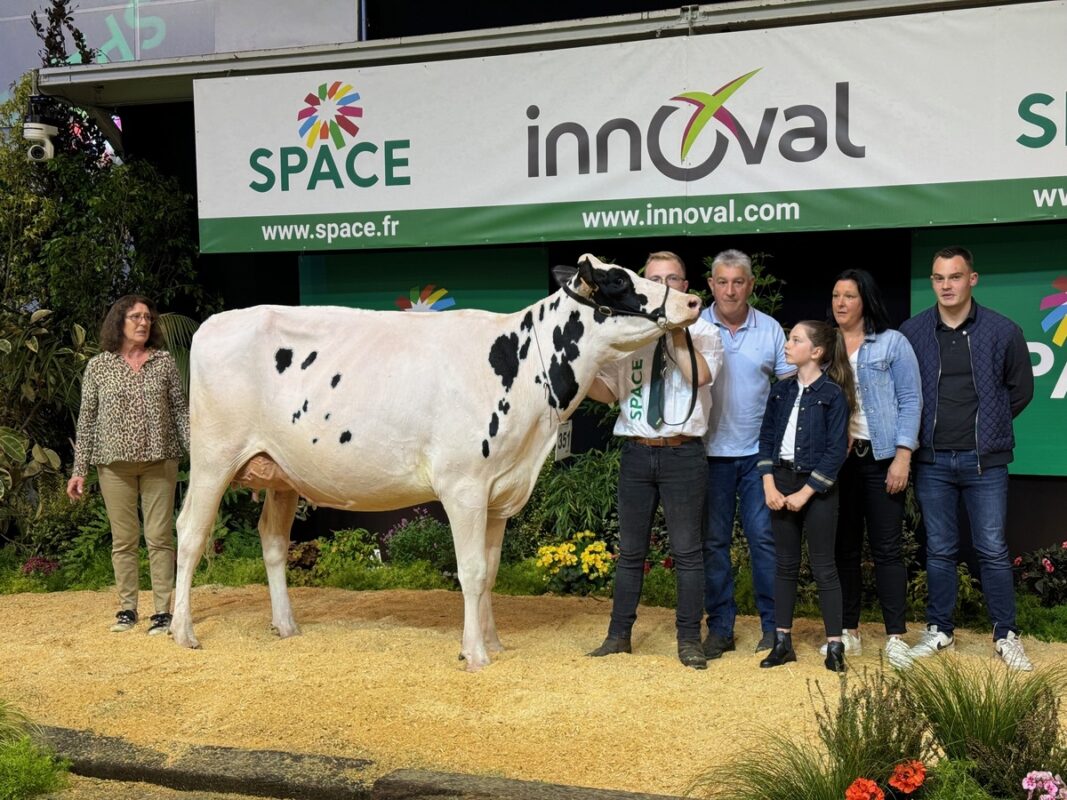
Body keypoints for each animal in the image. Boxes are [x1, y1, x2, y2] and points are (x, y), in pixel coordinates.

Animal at [173, 254, 699, 669]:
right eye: (619, 281)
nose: (692, 302)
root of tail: (214, 323)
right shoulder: (464, 485)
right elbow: (470, 571)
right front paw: (475, 654)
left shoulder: (499, 492)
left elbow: (490, 572)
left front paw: (493, 642)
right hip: (213, 458)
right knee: (191, 532)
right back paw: (182, 631)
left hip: (281, 472)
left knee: (272, 540)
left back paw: (285, 626)